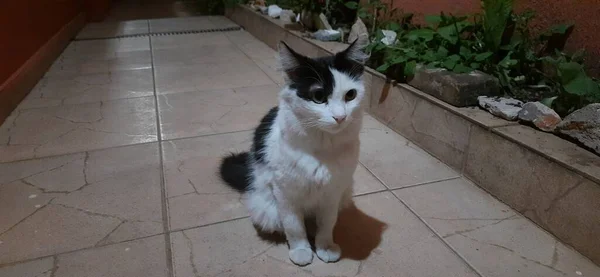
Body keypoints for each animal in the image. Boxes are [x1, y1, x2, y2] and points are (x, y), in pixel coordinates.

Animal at [220, 36, 368, 266]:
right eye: (318, 96)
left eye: (350, 95)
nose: (340, 117)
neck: (322, 149)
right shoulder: (285, 193)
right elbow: (294, 226)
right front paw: (301, 250)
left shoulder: (333, 193)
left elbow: (327, 223)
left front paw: (325, 247)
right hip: (267, 206)